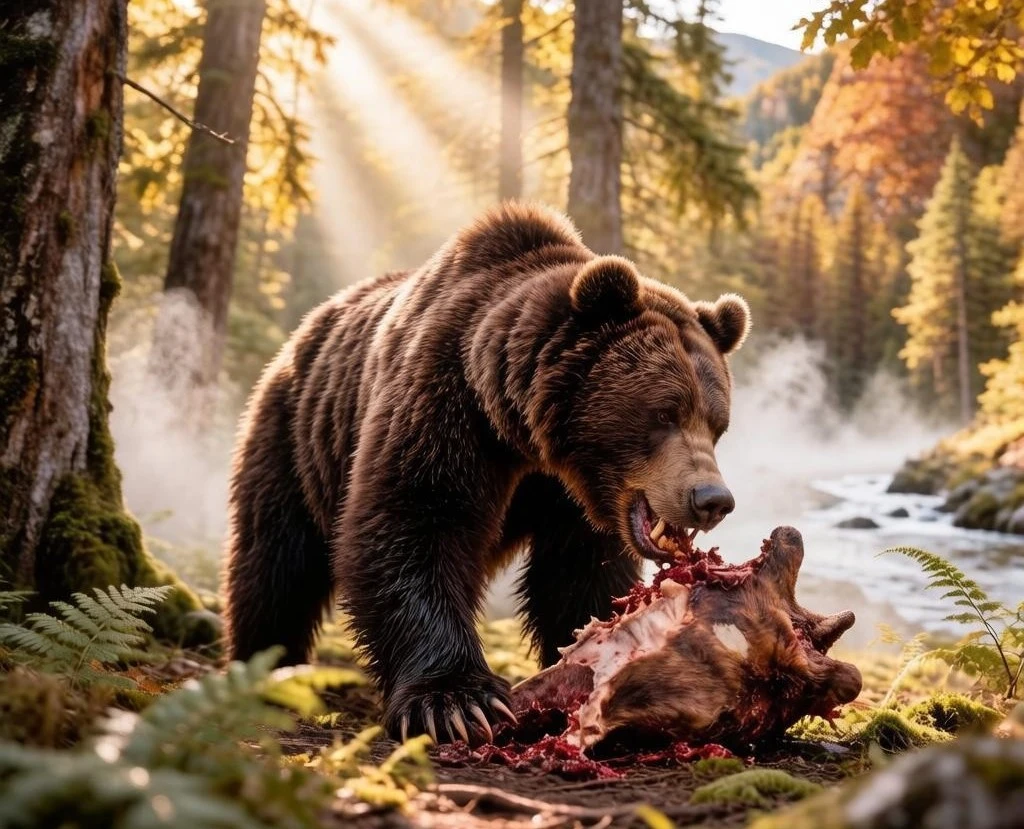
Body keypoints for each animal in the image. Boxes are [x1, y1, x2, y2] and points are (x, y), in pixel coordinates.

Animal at [222, 201, 750, 745]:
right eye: (665, 412)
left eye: (717, 425)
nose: (712, 499)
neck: (525, 433)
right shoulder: (444, 405)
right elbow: (411, 521)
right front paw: (456, 701)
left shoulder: (568, 495)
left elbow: (577, 572)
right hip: (295, 433)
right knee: (275, 562)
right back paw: (267, 670)